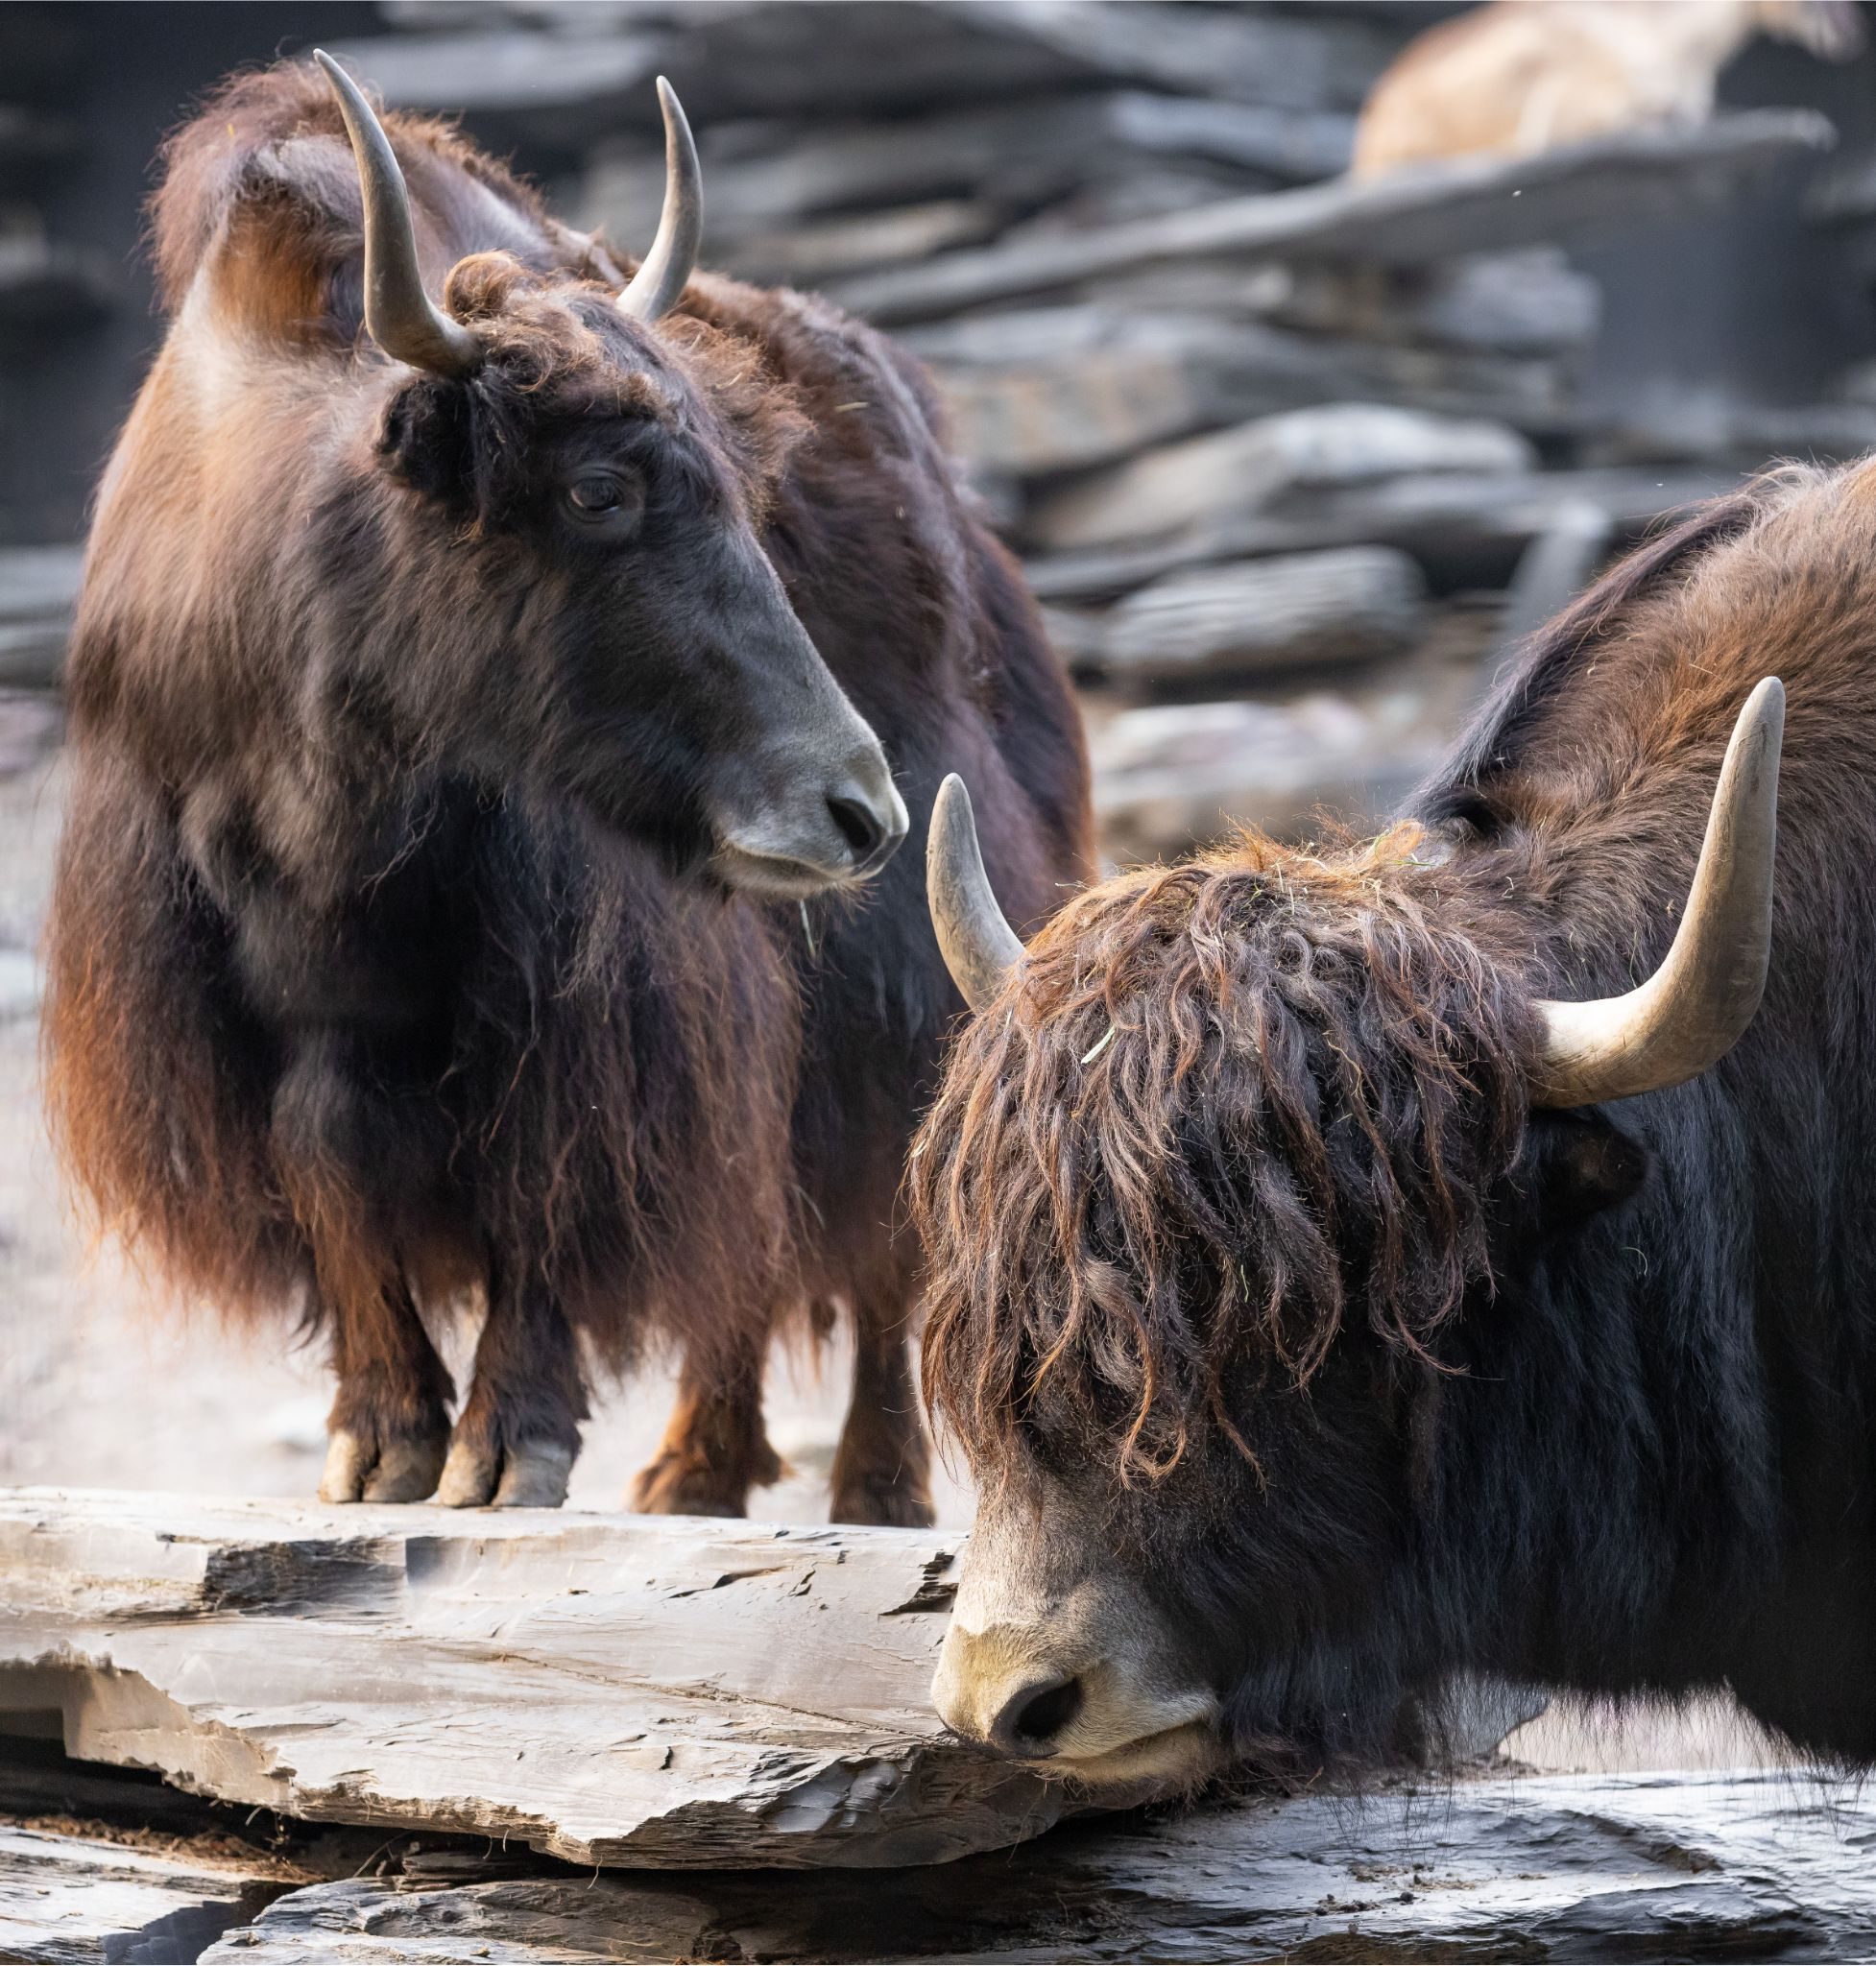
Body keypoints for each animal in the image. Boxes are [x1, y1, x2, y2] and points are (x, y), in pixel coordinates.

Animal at [43, 55, 1091, 1520]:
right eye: (598, 490)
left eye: (741, 484)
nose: (858, 810)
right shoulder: (278, 996)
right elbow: (329, 1152)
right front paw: (382, 1438)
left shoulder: (588, 977)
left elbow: (558, 1159)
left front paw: (506, 1448)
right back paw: (695, 1472)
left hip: (923, 948)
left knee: (877, 1195)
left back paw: (874, 1486)